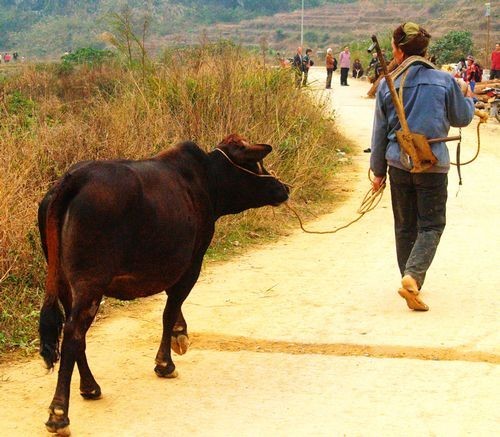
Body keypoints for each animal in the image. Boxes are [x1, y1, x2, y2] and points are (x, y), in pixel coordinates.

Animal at [38, 135, 290, 434]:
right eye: (256, 163)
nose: (283, 188)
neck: (206, 179)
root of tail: (74, 178)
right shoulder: (192, 262)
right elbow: (170, 309)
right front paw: (165, 362)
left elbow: (173, 307)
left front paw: (180, 335)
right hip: (90, 283)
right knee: (74, 333)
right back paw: (59, 413)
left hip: (65, 282)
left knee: (75, 334)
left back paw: (89, 387)